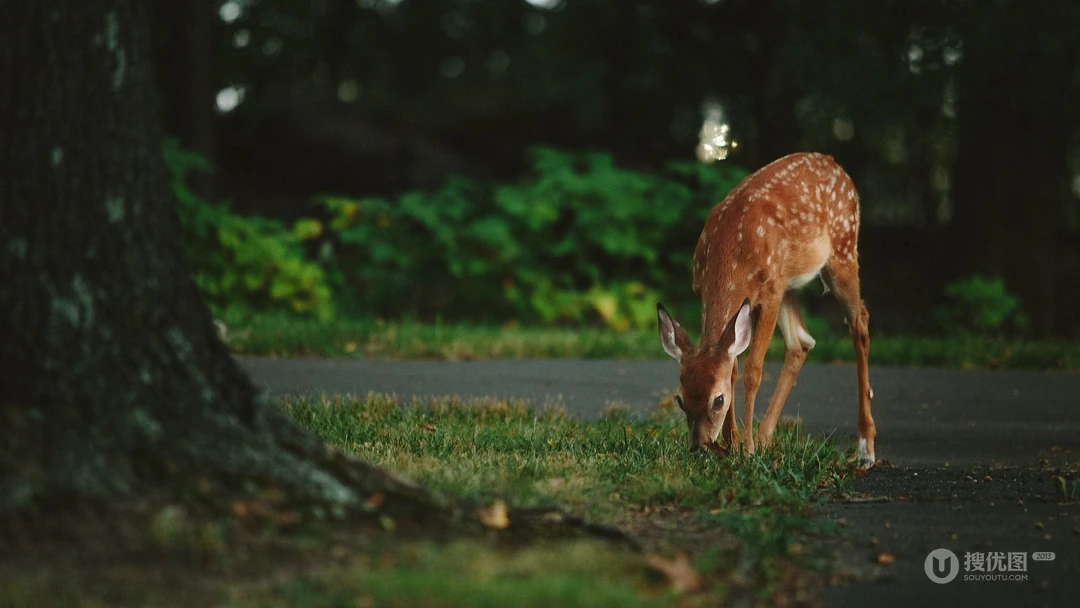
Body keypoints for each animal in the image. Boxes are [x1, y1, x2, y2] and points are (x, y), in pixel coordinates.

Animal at [656, 152, 877, 469]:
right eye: (680, 399)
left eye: (718, 400)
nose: (699, 447)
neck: (731, 251)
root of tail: (835, 164)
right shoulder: (708, 291)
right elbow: (732, 366)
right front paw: (733, 444)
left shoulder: (770, 292)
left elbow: (752, 370)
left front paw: (745, 449)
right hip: (790, 282)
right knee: (801, 342)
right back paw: (764, 438)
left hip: (842, 250)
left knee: (860, 323)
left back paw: (865, 448)